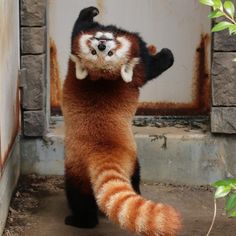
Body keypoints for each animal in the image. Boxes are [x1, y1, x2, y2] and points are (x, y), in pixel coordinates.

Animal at [62, 6, 181, 236]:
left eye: (108, 53)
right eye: (94, 53)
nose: (101, 44)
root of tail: (101, 149)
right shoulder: (139, 68)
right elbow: (153, 67)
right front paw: (166, 55)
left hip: (84, 169)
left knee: (81, 196)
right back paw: (81, 221)